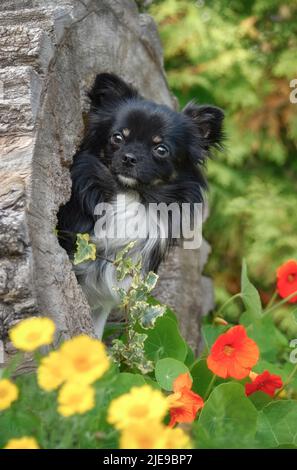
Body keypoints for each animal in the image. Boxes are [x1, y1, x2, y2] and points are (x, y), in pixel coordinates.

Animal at [56, 73, 223, 336]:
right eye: (117, 137)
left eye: (161, 149)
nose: (129, 157)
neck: (129, 196)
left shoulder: (105, 291)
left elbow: (94, 333)